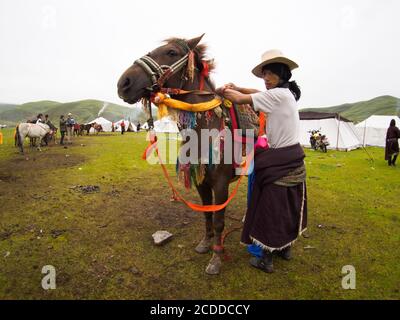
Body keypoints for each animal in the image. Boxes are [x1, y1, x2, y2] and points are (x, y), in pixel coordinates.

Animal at [116, 35, 241, 276]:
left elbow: (219, 220)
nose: (123, 83)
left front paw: (216, 258)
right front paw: (205, 244)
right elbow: (207, 213)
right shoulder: (201, 180)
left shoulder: (221, 183)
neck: (207, 129)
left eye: (172, 52)